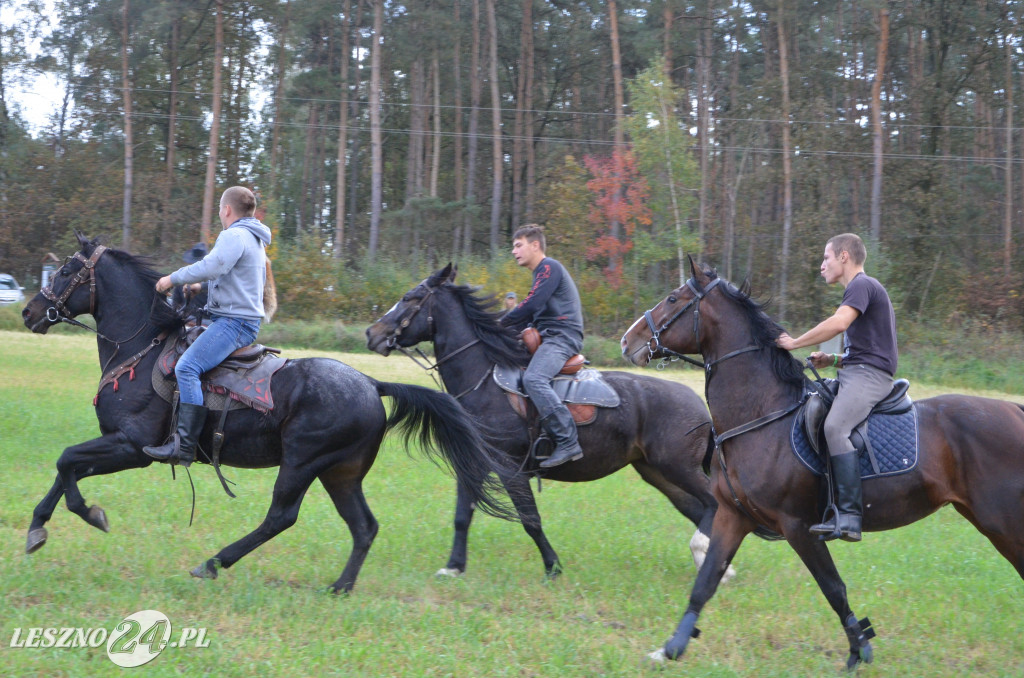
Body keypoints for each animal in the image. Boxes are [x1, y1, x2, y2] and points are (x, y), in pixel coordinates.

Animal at [22, 233, 520, 594]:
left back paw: (214, 562)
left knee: (281, 517)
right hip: (340, 473)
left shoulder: (132, 446)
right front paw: (38, 528)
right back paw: (340, 586)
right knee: (364, 527)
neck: (140, 350)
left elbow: (67, 463)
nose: (28, 312)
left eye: (65, 270)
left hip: (302, 463)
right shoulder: (116, 445)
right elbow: (67, 467)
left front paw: (89, 515)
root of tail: (371, 383)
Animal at [364, 266, 733, 585]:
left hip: (678, 469)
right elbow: (461, 516)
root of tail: (700, 407)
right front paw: (454, 566)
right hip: (657, 472)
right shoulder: (474, 464)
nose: (372, 333)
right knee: (698, 509)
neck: (484, 382)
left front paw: (553, 566)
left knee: (713, 506)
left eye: (411, 297)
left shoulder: (510, 469)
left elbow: (530, 520)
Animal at [618, 259, 1024, 667]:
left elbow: (834, 588)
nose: (627, 342)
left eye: (673, 299)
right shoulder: (733, 517)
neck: (762, 414)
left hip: (1003, 523)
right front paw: (670, 648)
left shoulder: (799, 526)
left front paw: (860, 651)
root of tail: (1015, 411)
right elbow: (704, 584)